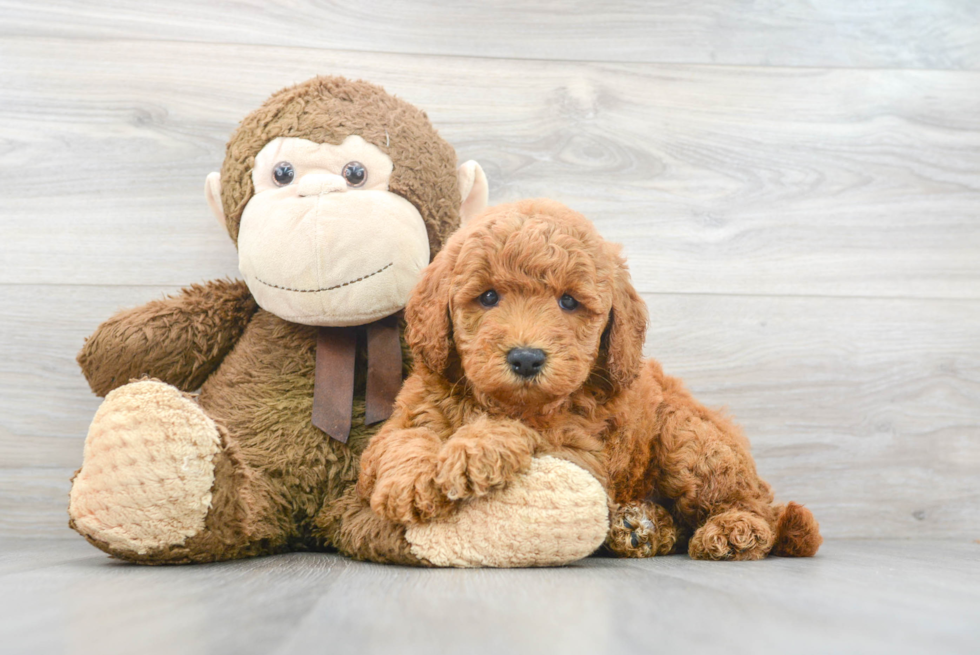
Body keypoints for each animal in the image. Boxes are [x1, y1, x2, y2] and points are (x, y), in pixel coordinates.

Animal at [358, 199, 820, 560]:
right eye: (488, 296)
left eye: (568, 302)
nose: (526, 359)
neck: (502, 401)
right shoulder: (409, 412)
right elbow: (401, 440)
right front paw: (408, 482)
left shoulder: (583, 454)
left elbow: (530, 432)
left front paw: (474, 450)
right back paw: (641, 526)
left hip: (689, 440)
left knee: (754, 504)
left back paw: (733, 530)